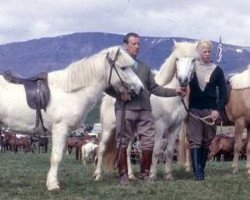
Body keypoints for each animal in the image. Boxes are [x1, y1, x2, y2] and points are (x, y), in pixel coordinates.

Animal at [0, 45, 145, 191]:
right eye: (123, 68)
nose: (140, 87)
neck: (69, 91)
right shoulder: (60, 128)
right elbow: (56, 157)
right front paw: (53, 185)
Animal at [94, 41, 199, 181]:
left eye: (193, 60)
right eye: (177, 59)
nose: (183, 80)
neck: (170, 98)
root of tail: (108, 97)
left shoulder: (175, 127)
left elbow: (169, 151)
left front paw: (168, 175)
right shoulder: (160, 126)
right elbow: (157, 151)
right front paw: (152, 175)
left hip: (130, 129)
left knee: (127, 150)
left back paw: (131, 175)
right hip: (108, 128)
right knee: (101, 149)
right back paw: (98, 175)